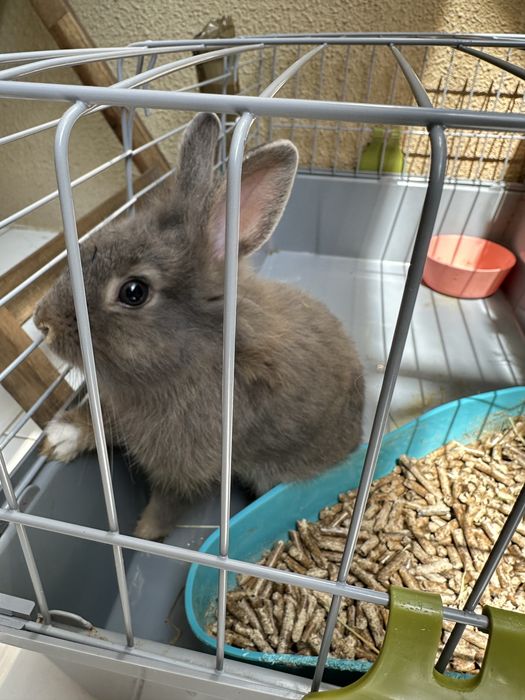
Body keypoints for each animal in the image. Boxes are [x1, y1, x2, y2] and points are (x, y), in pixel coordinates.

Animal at [34, 112, 364, 541]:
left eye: (134, 292)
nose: (42, 323)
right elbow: (101, 419)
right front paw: (59, 439)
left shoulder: (185, 464)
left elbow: (169, 502)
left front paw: (143, 534)